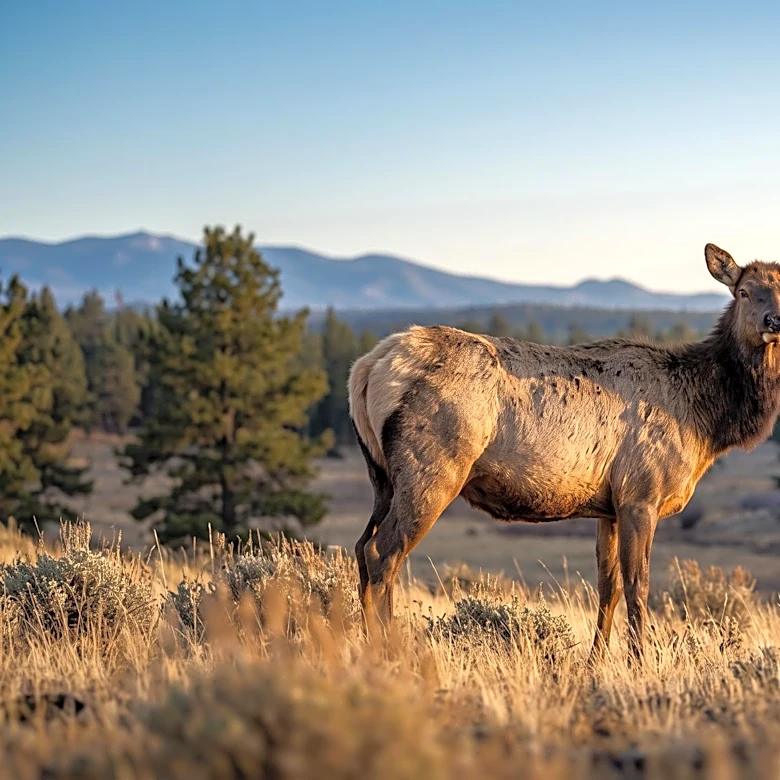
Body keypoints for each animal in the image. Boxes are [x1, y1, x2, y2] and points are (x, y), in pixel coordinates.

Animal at [348, 244, 780, 660]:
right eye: (743, 291)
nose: (773, 322)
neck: (705, 423)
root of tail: (366, 367)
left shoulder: (610, 505)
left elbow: (609, 586)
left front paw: (596, 662)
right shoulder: (641, 494)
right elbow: (638, 584)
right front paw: (640, 661)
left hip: (381, 476)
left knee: (361, 546)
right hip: (432, 468)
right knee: (382, 552)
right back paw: (390, 650)